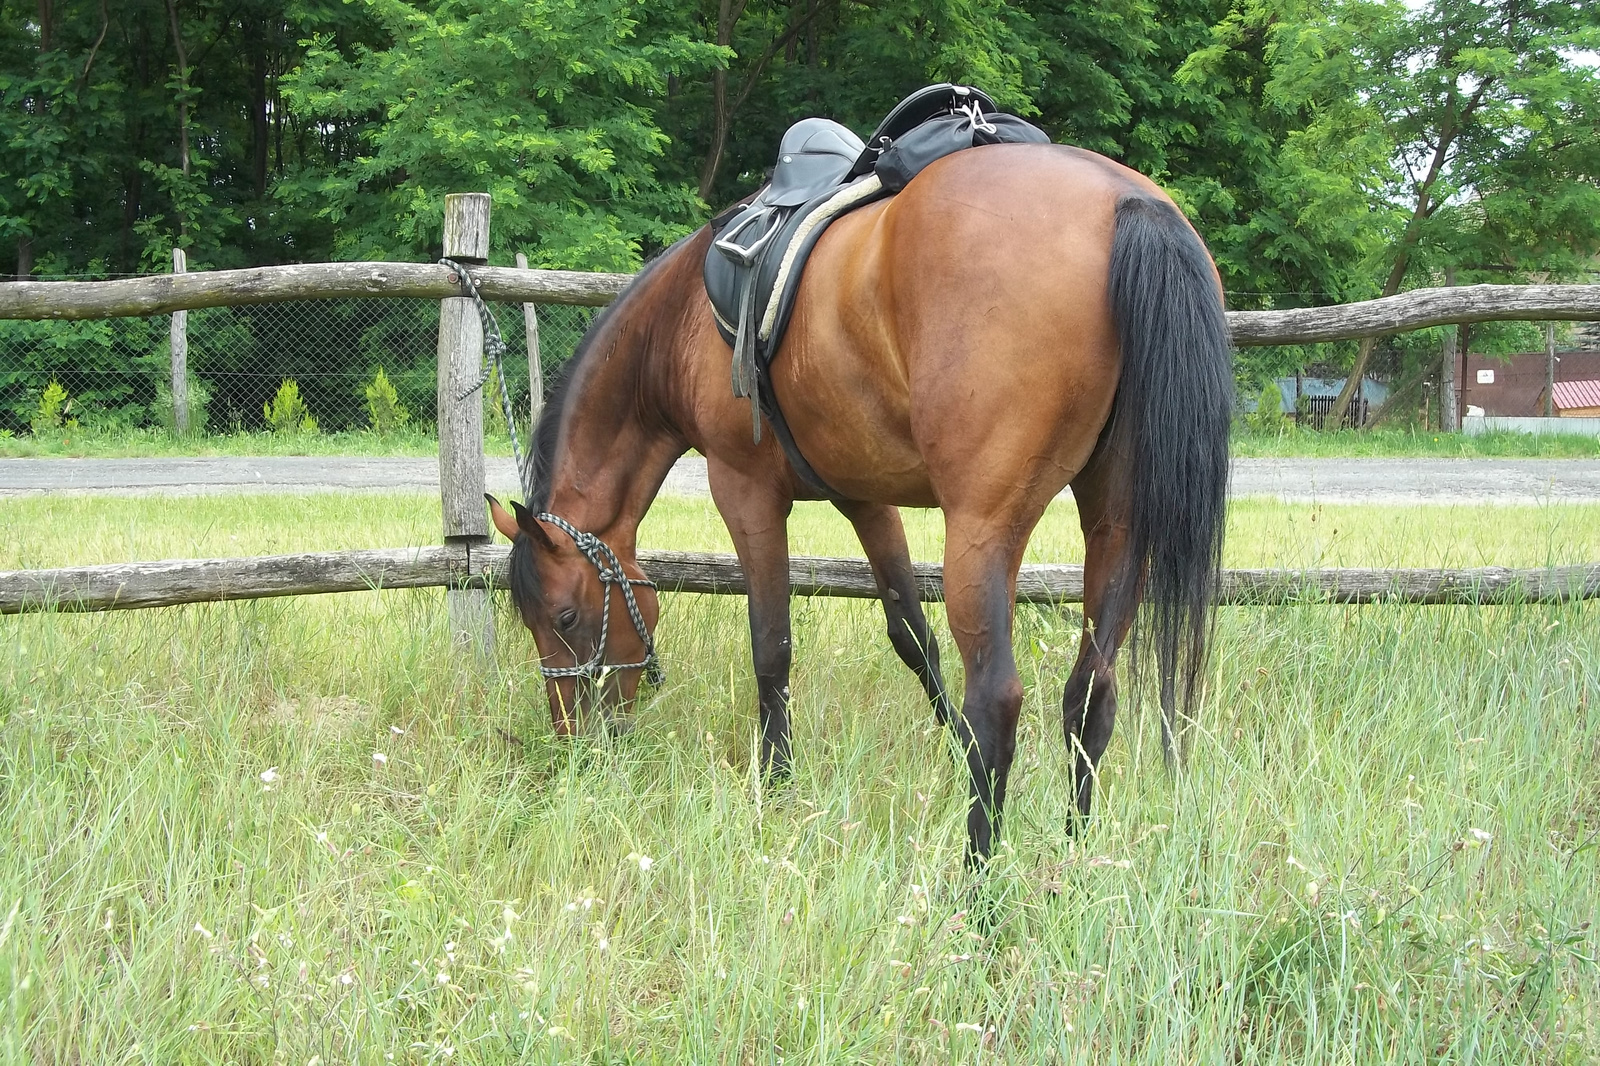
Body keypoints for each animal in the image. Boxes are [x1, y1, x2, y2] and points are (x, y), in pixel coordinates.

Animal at [480, 140, 1228, 857]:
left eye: (565, 616)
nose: (575, 742)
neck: (681, 319)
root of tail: (1126, 203)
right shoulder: (866, 499)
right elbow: (912, 636)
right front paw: (949, 752)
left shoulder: (744, 491)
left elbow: (771, 645)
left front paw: (778, 785)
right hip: (1117, 526)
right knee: (1091, 692)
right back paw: (1074, 854)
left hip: (985, 528)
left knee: (998, 699)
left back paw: (977, 879)